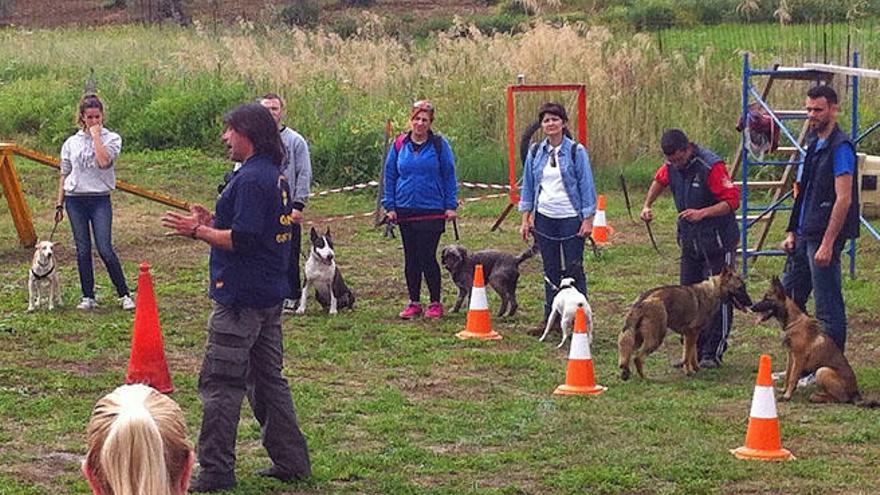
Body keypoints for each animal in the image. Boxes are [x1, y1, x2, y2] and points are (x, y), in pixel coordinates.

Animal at [616, 266, 752, 382]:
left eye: (744, 287)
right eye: (740, 288)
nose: (751, 303)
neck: (713, 290)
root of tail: (643, 300)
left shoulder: (692, 335)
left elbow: (692, 354)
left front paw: (696, 368)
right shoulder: (691, 334)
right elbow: (687, 355)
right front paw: (689, 371)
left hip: (636, 338)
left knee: (626, 354)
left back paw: (626, 373)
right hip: (656, 338)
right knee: (637, 358)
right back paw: (645, 377)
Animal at [748, 278, 880, 408]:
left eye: (767, 298)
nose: (751, 307)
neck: (793, 322)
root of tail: (856, 393)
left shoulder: (799, 358)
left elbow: (793, 377)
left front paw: (787, 395)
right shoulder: (791, 356)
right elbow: (788, 374)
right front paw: (784, 390)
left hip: (822, 370)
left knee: (842, 399)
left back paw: (817, 397)